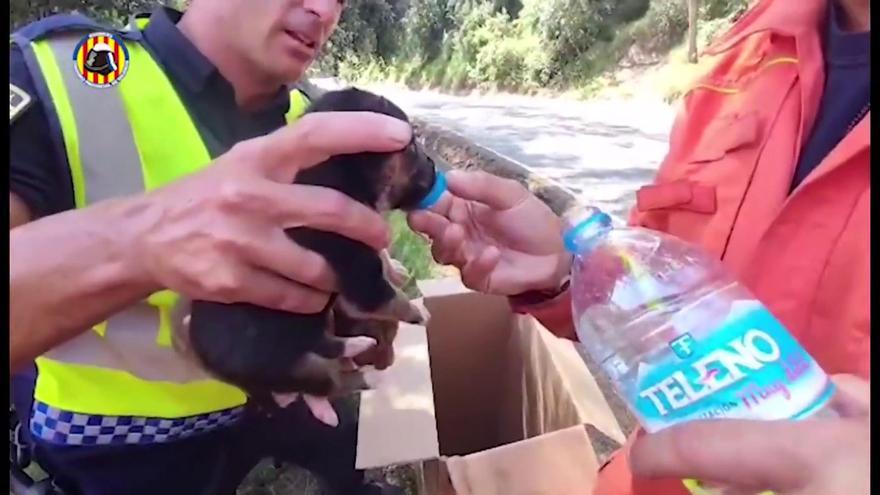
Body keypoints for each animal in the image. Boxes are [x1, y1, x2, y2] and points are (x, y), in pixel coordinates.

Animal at [180, 87, 440, 424]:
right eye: (412, 148)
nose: (435, 167)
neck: (335, 176)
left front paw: (396, 271)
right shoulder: (358, 274)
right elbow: (389, 297)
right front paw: (418, 313)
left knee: (327, 348)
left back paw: (357, 346)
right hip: (292, 366)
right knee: (331, 379)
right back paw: (368, 376)